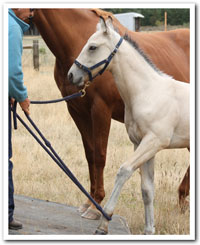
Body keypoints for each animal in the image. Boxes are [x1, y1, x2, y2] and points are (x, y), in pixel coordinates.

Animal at [32, 8, 189, 219]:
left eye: (92, 47)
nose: (72, 75)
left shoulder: (102, 110)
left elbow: (100, 156)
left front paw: (96, 206)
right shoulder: (78, 111)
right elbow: (90, 154)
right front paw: (89, 202)